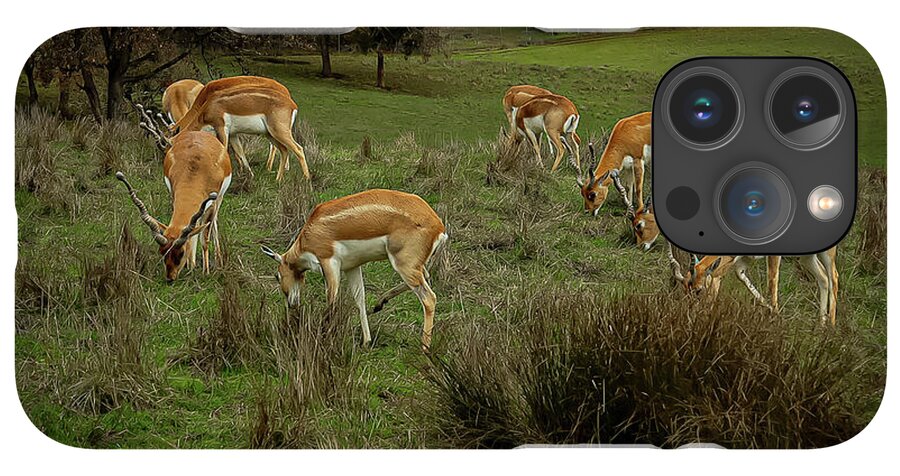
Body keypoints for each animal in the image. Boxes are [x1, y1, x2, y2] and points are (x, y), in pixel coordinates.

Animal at [116, 122, 231, 281]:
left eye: (180, 252)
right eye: (162, 251)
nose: (170, 278)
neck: (195, 171)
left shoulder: (211, 204)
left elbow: (204, 239)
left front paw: (206, 272)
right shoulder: (174, 195)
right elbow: (191, 232)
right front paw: (190, 266)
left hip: (219, 199)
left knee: (212, 223)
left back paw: (218, 259)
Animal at [148, 75, 308, 182]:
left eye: (168, 149)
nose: (167, 168)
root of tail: (291, 103)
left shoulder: (221, 128)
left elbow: (224, 151)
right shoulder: (233, 134)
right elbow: (240, 152)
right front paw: (248, 174)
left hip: (278, 131)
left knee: (298, 149)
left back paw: (305, 180)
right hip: (270, 133)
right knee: (284, 149)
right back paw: (278, 178)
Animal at [259, 189, 448, 351]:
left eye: (277, 276)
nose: (292, 304)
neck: (310, 233)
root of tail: (438, 226)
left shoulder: (329, 263)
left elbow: (332, 301)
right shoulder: (352, 267)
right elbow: (359, 299)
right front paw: (366, 341)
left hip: (403, 265)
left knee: (429, 298)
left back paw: (424, 347)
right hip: (412, 266)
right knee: (425, 277)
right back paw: (379, 304)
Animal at [679, 248, 839, 326]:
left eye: (699, 290)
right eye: (685, 291)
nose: (691, 316)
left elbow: (772, 282)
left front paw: (774, 318)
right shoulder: (742, 261)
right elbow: (740, 277)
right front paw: (772, 312)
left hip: (828, 253)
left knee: (834, 277)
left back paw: (831, 327)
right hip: (806, 257)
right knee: (823, 278)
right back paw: (821, 325)